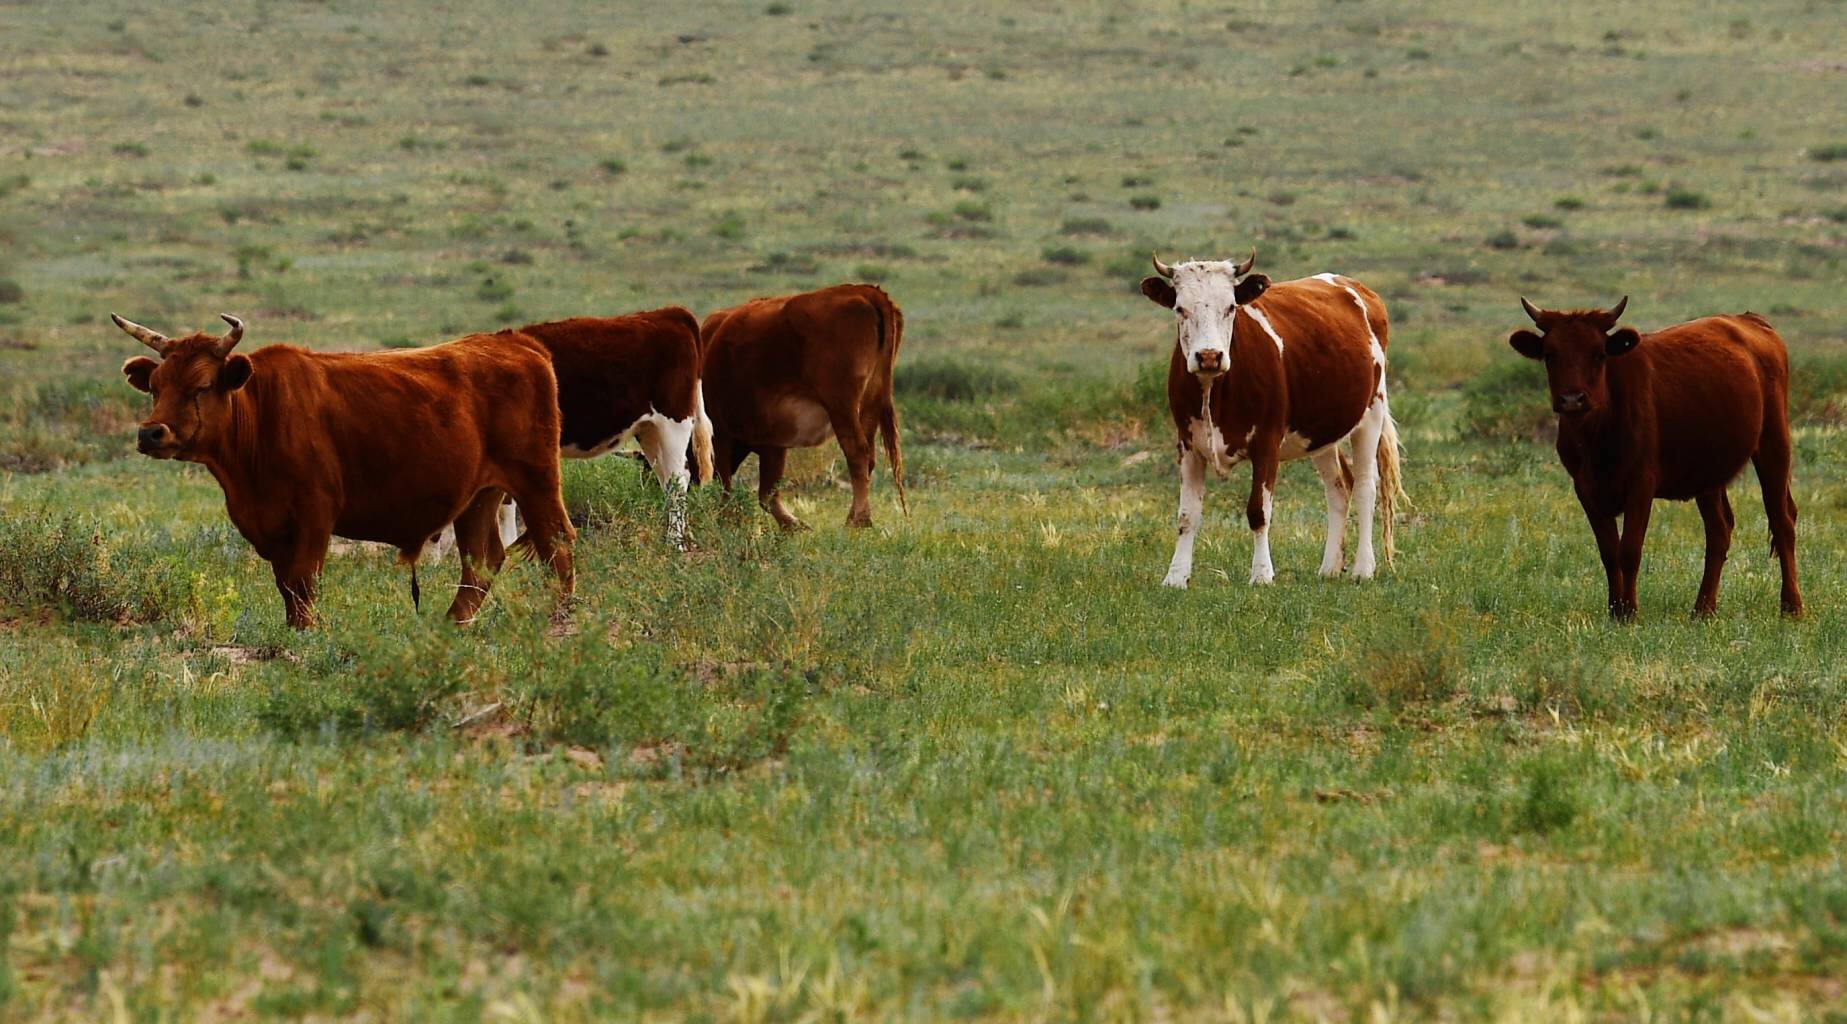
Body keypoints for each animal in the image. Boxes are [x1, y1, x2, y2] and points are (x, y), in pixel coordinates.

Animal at [117, 310, 576, 624]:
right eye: (155, 387)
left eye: (201, 386)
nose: (151, 433)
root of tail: (516, 343)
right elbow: (287, 587)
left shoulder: (314, 514)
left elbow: (303, 583)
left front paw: (307, 635)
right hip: (479, 497)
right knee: (481, 562)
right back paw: (450, 626)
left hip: (535, 481)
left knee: (557, 542)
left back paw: (560, 614)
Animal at [698, 282, 908, 528]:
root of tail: (864, 290)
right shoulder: (773, 441)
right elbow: (767, 491)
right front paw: (792, 524)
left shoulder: (722, 433)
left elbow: (727, 485)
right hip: (870, 401)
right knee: (869, 457)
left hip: (841, 405)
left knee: (857, 452)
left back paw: (858, 520)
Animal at [1130, 251, 1403, 584]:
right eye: (1180, 309)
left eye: (1230, 307)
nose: (1209, 356)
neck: (1214, 390)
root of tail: (1357, 288)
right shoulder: (1187, 444)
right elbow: (1187, 515)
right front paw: (1176, 577)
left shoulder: (1267, 442)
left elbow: (1258, 511)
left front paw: (1261, 574)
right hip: (1321, 432)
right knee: (1339, 486)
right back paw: (1330, 567)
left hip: (1371, 412)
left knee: (1365, 486)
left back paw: (1363, 568)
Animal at [1507, 295, 1795, 613]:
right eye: (1550, 355)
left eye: (1599, 355)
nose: (1572, 399)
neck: (1596, 439)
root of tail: (1750, 320)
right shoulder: (1585, 488)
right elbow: (1609, 553)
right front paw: (1615, 610)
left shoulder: (1641, 484)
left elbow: (1629, 550)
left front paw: (1629, 611)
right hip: (1708, 471)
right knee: (1719, 530)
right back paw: (1703, 609)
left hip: (1774, 443)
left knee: (1782, 522)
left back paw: (1791, 606)